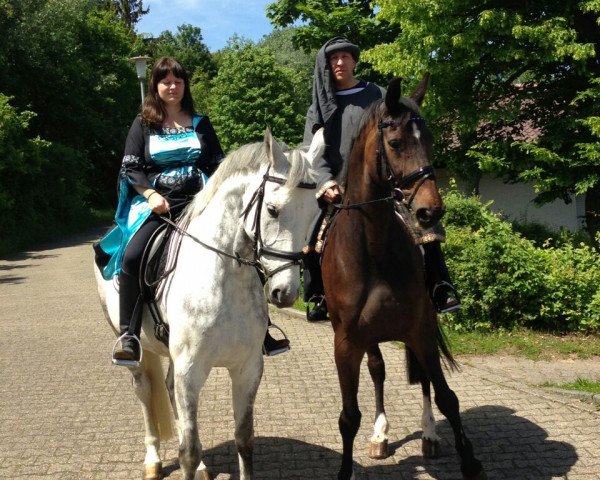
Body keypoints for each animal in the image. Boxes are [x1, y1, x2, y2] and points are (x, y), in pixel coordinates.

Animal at [95, 129, 326, 478]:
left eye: (314, 214)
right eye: (272, 209)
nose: (285, 293)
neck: (225, 276)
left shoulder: (247, 368)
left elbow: (244, 439)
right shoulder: (191, 370)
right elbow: (188, 452)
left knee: (168, 389)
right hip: (136, 352)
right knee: (146, 392)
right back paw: (153, 460)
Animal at [322, 74, 486, 480]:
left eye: (429, 141)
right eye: (395, 143)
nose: (430, 211)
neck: (373, 248)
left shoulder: (420, 327)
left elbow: (446, 397)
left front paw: (469, 460)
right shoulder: (346, 343)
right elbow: (349, 417)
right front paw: (348, 466)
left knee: (425, 378)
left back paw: (428, 436)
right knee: (378, 370)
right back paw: (380, 435)